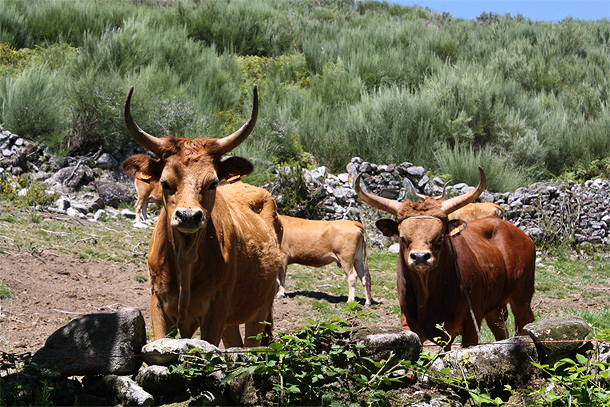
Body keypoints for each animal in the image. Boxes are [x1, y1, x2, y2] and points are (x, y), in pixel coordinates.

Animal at [121, 86, 282, 348]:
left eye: (212, 183)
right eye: (165, 182)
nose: (188, 216)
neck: (186, 258)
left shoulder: (216, 309)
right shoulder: (158, 304)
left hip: (260, 310)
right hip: (233, 320)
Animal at [354, 169, 536, 350]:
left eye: (440, 238)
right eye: (403, 238)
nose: (420, 257)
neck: (427, 294)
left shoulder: (471, 325)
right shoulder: (410, 324)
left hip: (522, 296)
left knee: (524, 322)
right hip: (495, 306)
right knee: (500, 331)